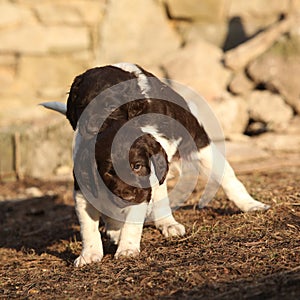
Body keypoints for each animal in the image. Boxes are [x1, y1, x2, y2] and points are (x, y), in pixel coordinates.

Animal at [40, 62, 270, 266]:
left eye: (109, 106)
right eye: (82, 106)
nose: (90, 128)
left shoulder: (142, 185)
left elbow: (133, 218)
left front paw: (127, 249)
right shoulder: (84, 186)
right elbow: (89, 226)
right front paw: (89, 254)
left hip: (201, 147)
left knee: (227, 177)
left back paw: (248, 205)